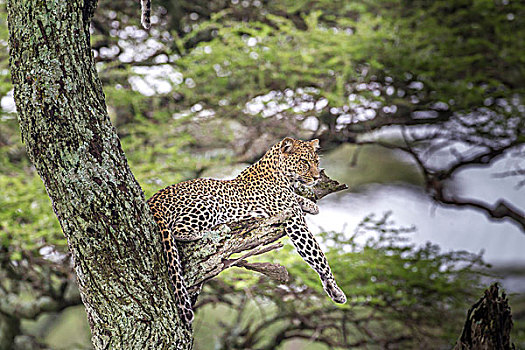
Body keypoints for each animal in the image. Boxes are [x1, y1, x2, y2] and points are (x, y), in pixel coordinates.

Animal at [145, 138, 346, 324]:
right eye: (304, 161)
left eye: (316, 162)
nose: (317, 178)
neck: (281, 175)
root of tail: (154, 199)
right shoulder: (294, 221)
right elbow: (319, 258)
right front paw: (336, 290)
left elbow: (298, 199)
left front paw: (311, 205)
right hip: (210, 202)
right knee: (178, 230)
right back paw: (205, 232)